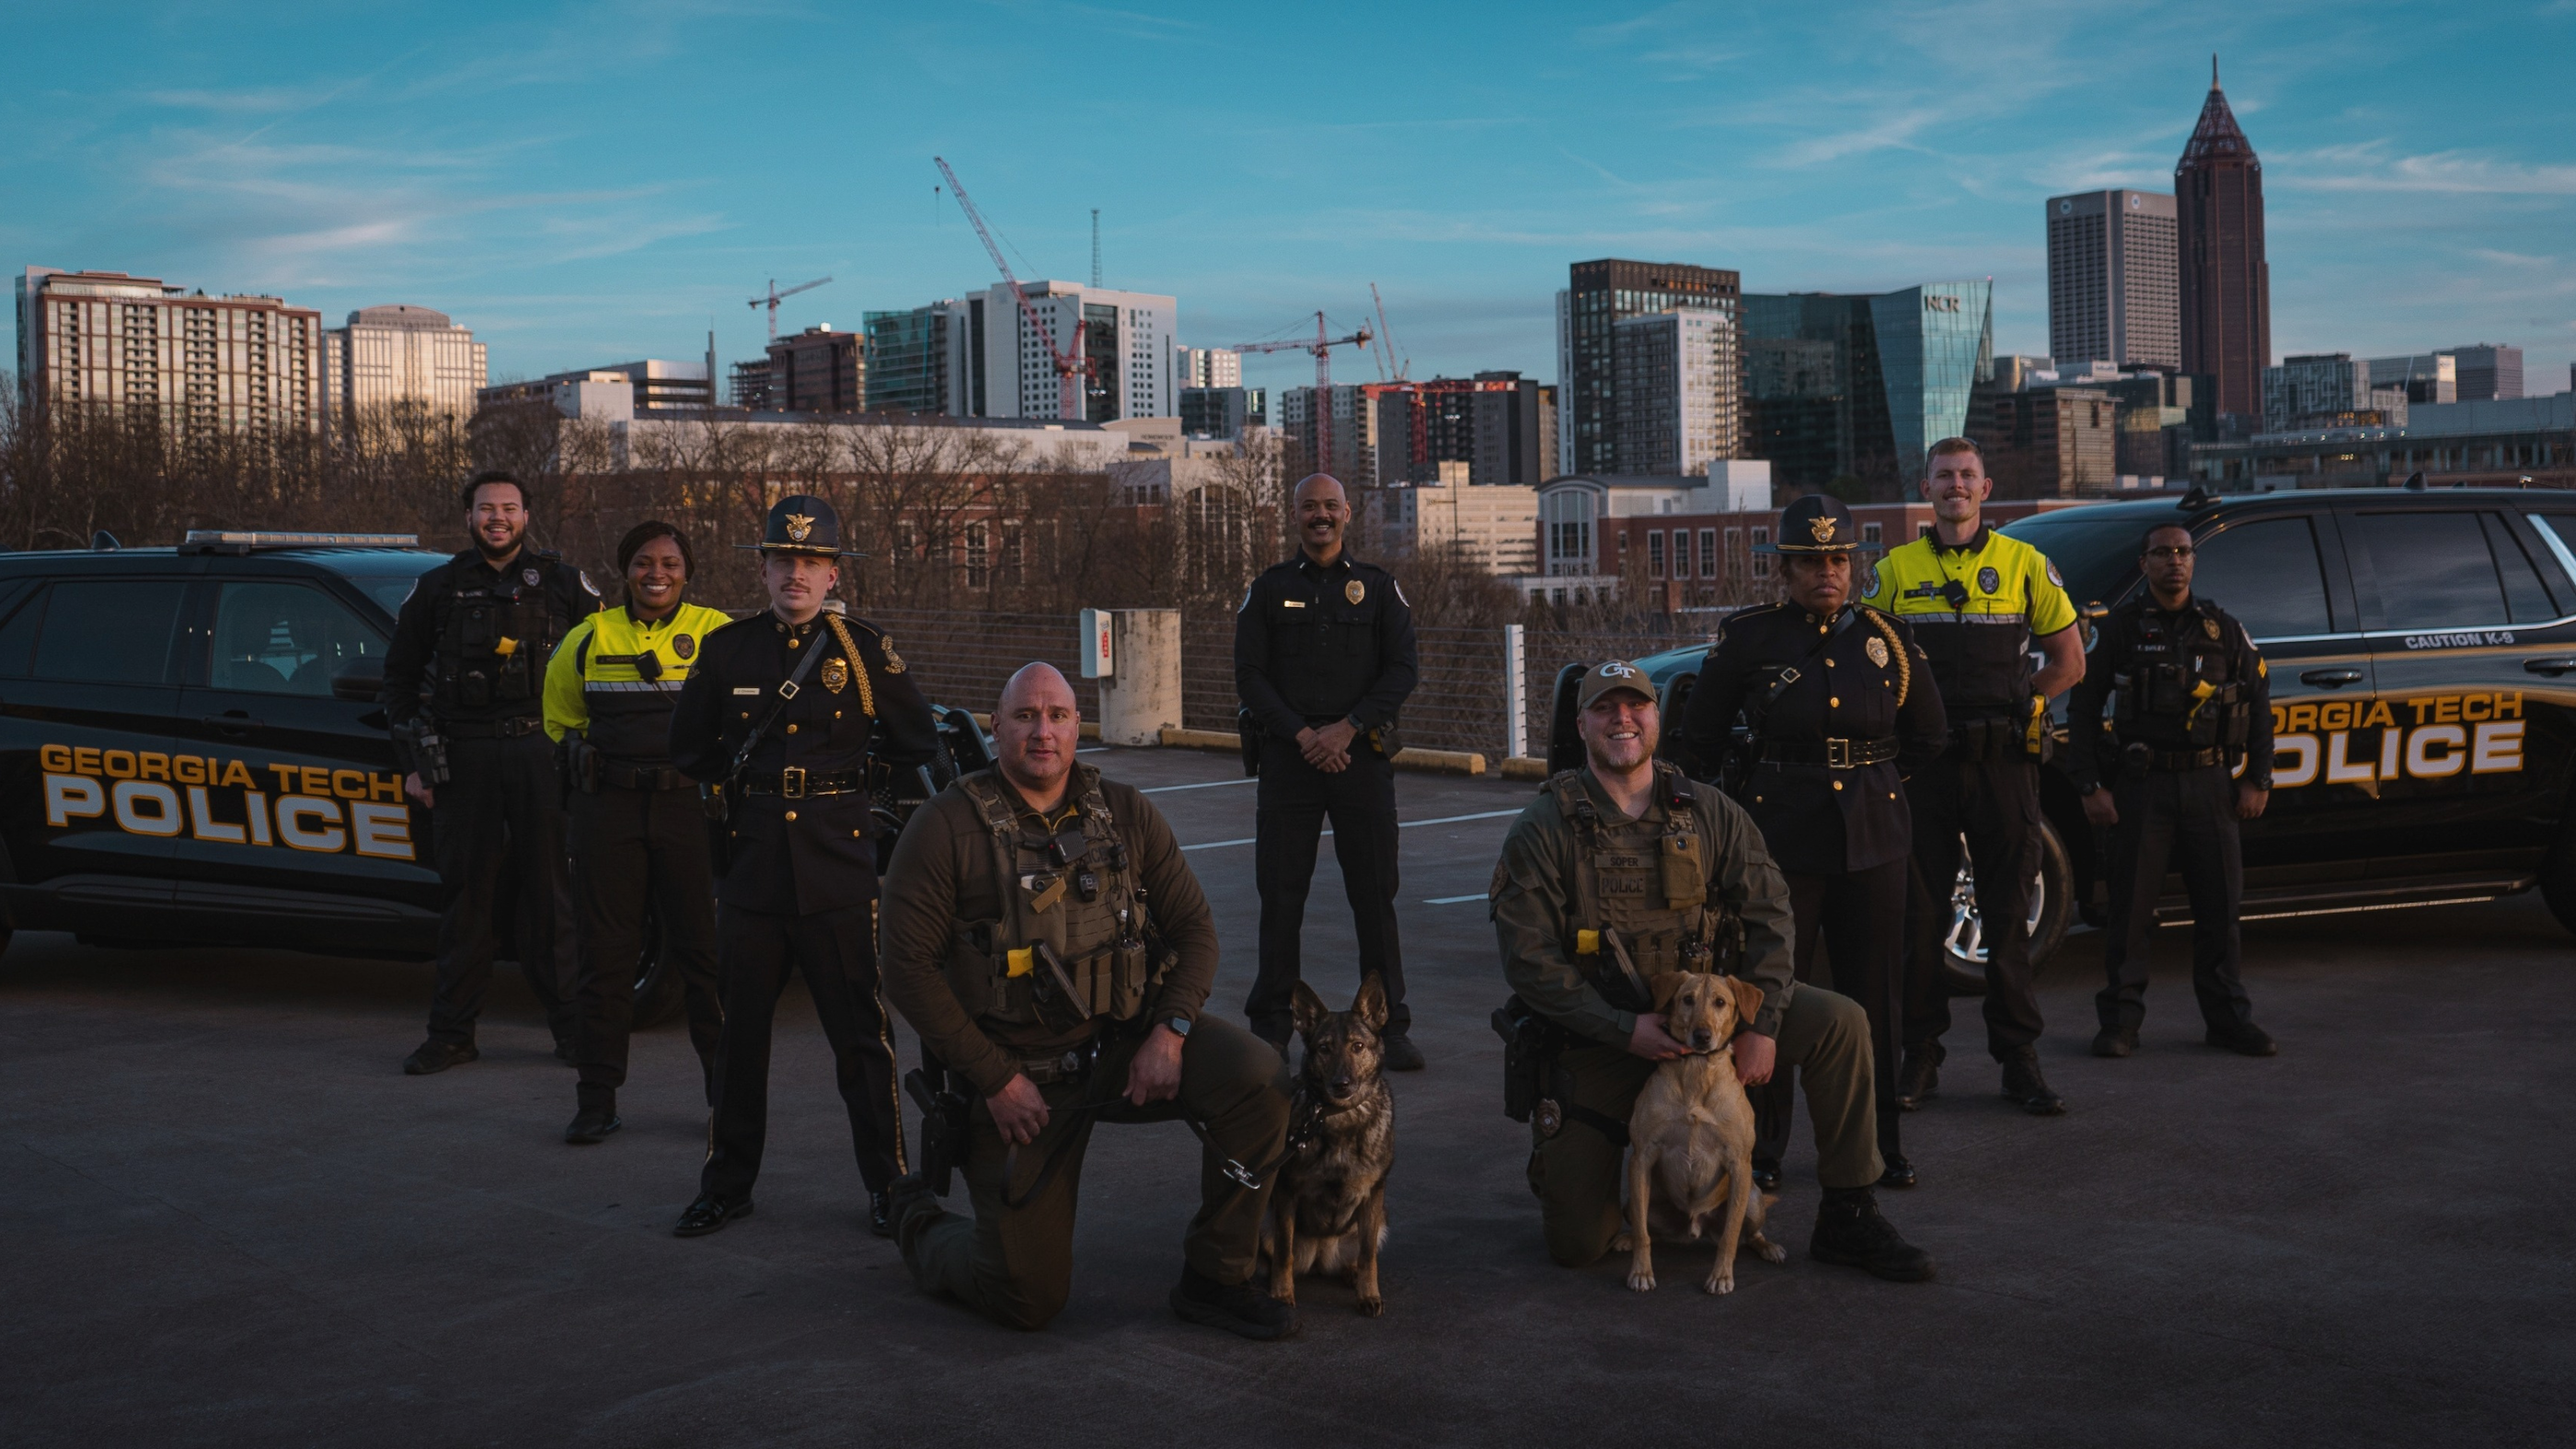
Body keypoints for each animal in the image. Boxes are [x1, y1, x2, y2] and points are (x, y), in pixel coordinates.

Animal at [1617, 969, 1782, 1283]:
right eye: (1687, 1000)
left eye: (1720, 1002)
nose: (1702, 1036)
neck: (1697, 1069)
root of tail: (1694, 1227)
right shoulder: (1642, 1157)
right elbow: (1643, 1233)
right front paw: (1641, 1271)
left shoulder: (1740, 1164)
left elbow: (1731, 1235)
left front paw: (1721, 1277)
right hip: (1634, 1201)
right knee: (1648, 1230)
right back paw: (1628, 1239)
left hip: (1752, 1198)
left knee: (1748, 1234)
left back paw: (1768, 1246)